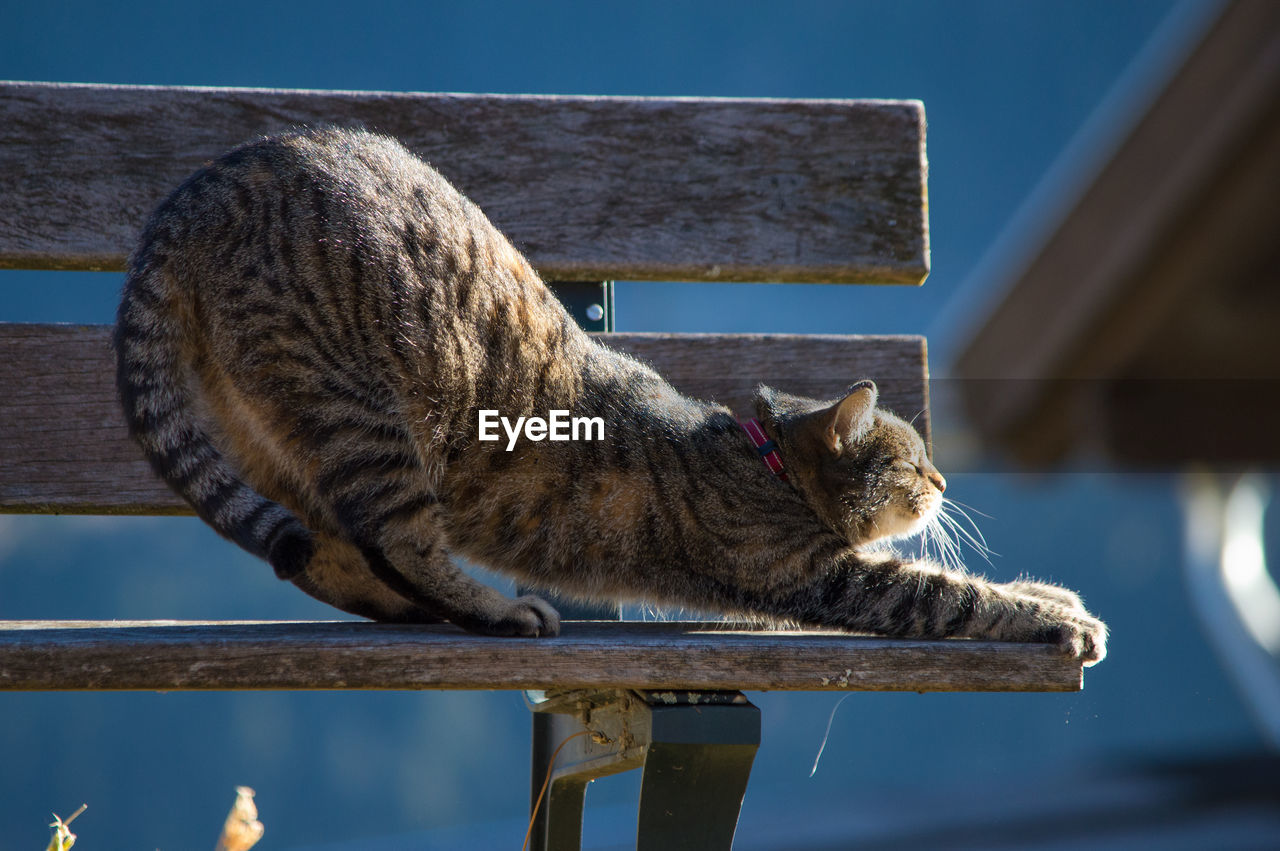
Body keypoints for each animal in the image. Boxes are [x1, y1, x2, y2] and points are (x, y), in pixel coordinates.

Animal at [115, 126, 1105, 665]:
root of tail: (202, 188)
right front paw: (1056, 616)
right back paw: (492, 609)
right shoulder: (815, 574)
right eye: (912, 461)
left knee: (318, 551)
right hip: (368, 416)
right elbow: (954, 593)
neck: (762, 460)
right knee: (396, 538)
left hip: (272, 434)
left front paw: (1049, 594)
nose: (943, 483)